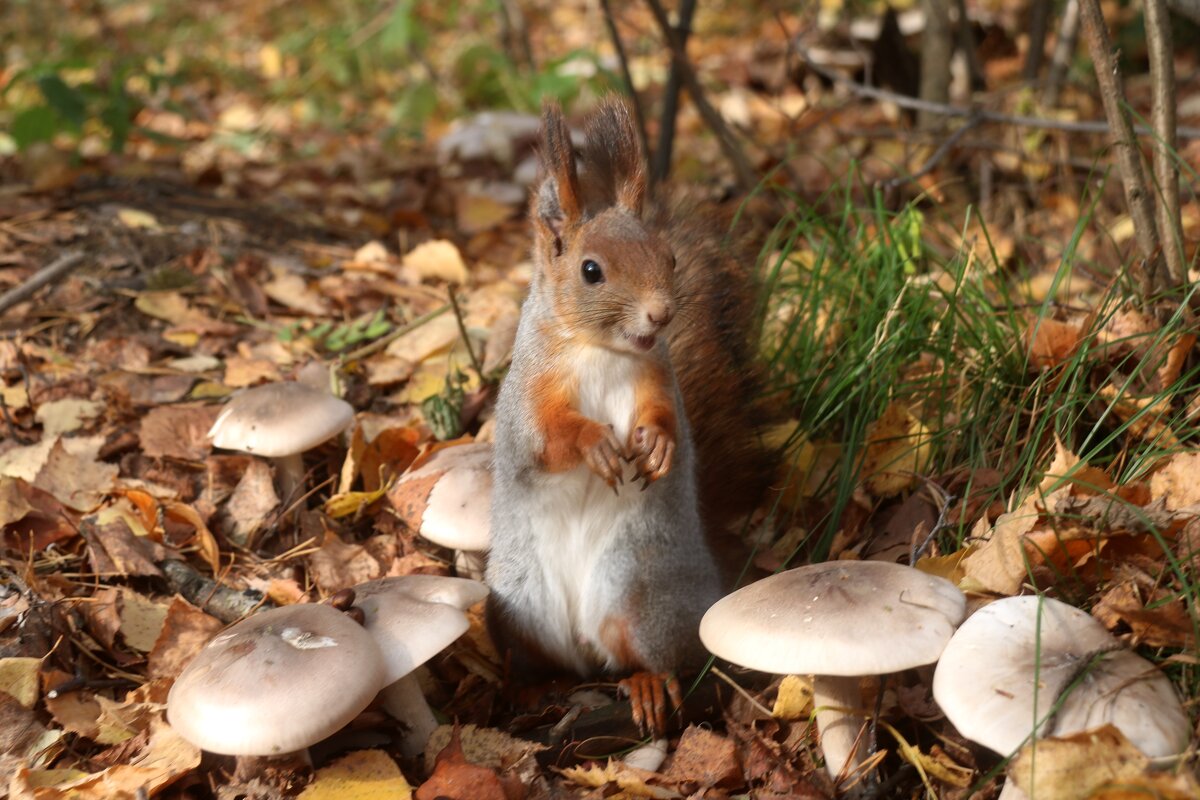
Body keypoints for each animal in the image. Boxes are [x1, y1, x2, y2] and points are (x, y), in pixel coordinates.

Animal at [487, 97, 777, 734]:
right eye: (591, 270)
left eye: (668, 258)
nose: (662, 314)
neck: (601, 352)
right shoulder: (530, 397)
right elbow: (548, 437)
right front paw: (592, 443)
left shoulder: (656, 382)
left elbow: (666, 420)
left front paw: (660, 447)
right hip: (519, 606)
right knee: (543, 663)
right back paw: (530, 689)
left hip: (639, 597)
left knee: (648, 659)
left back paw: (645, 685)